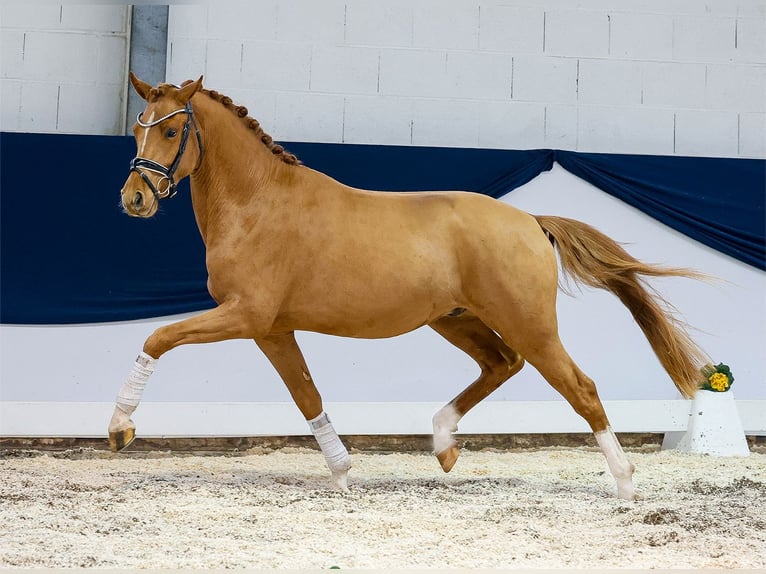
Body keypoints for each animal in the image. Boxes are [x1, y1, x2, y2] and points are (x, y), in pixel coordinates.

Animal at [106, 74, 708, 502]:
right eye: (138, 126)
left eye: (171, 130)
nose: (134, 199)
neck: (258, 202)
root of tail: (531, 221)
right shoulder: (272, 330)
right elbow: (307, 395)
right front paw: (342, 473)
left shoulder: (245, 315)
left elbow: (158, 338)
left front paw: (120, 428)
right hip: (456, 319)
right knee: (501, 363)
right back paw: (443, 444)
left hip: (528, 324)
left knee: (579, 387)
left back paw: (625, 483)